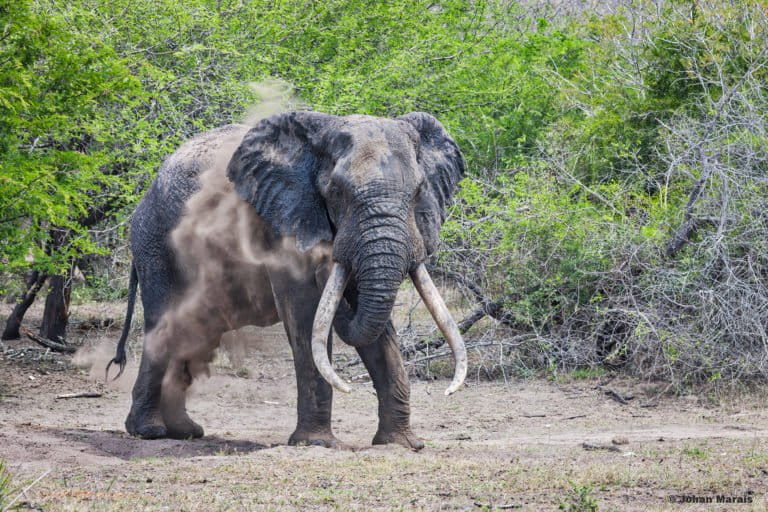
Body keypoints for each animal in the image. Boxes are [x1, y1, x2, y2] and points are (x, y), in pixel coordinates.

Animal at [108, 111, 468, 448]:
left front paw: (401, 444)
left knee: (194, 330)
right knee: (164, 323)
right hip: (155, 242)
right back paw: (150, 432)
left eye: (419, 191)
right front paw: (318, 444)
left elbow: (378, 330)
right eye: (337, 191)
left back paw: (185, 431)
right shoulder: (283, 221)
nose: (326, 260)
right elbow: (304, 309)